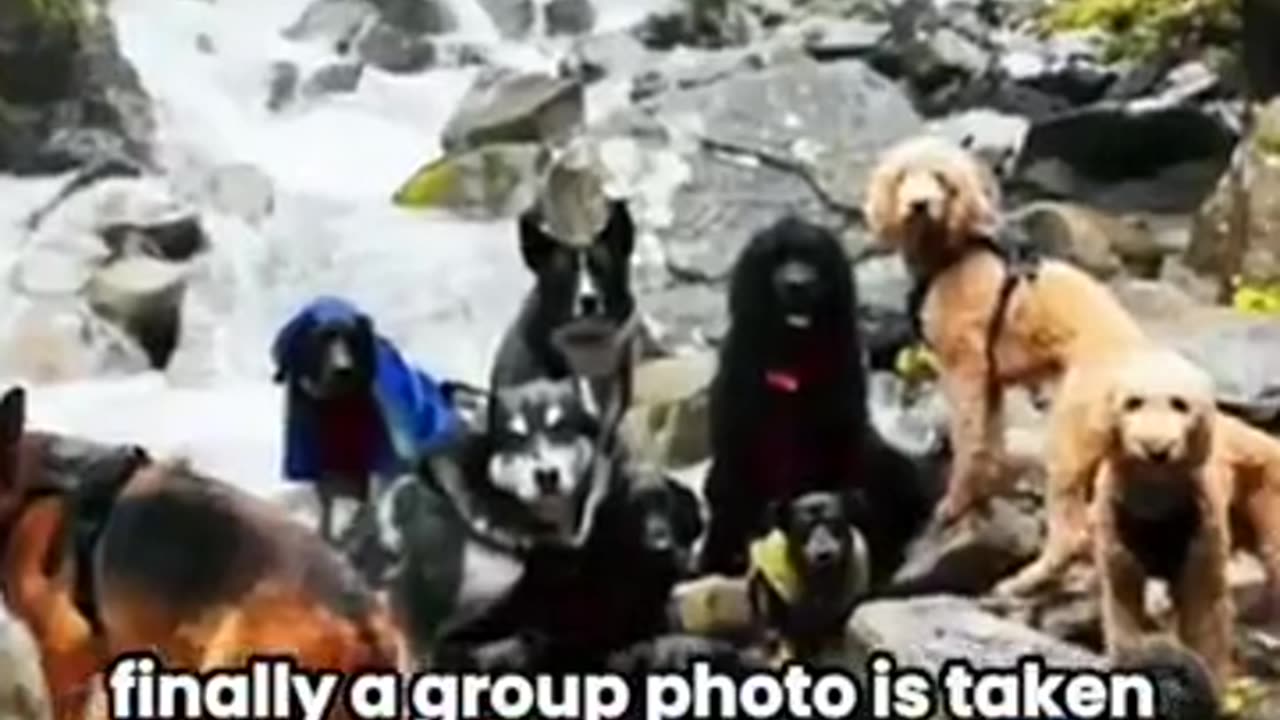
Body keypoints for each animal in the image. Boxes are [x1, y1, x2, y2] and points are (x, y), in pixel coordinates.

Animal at [270, 295, 460, 538]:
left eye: (353, 338)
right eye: (321, 339)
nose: (343, 370)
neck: (335, 406)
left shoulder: (383, 465)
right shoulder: (321, 468)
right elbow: (328, 503)